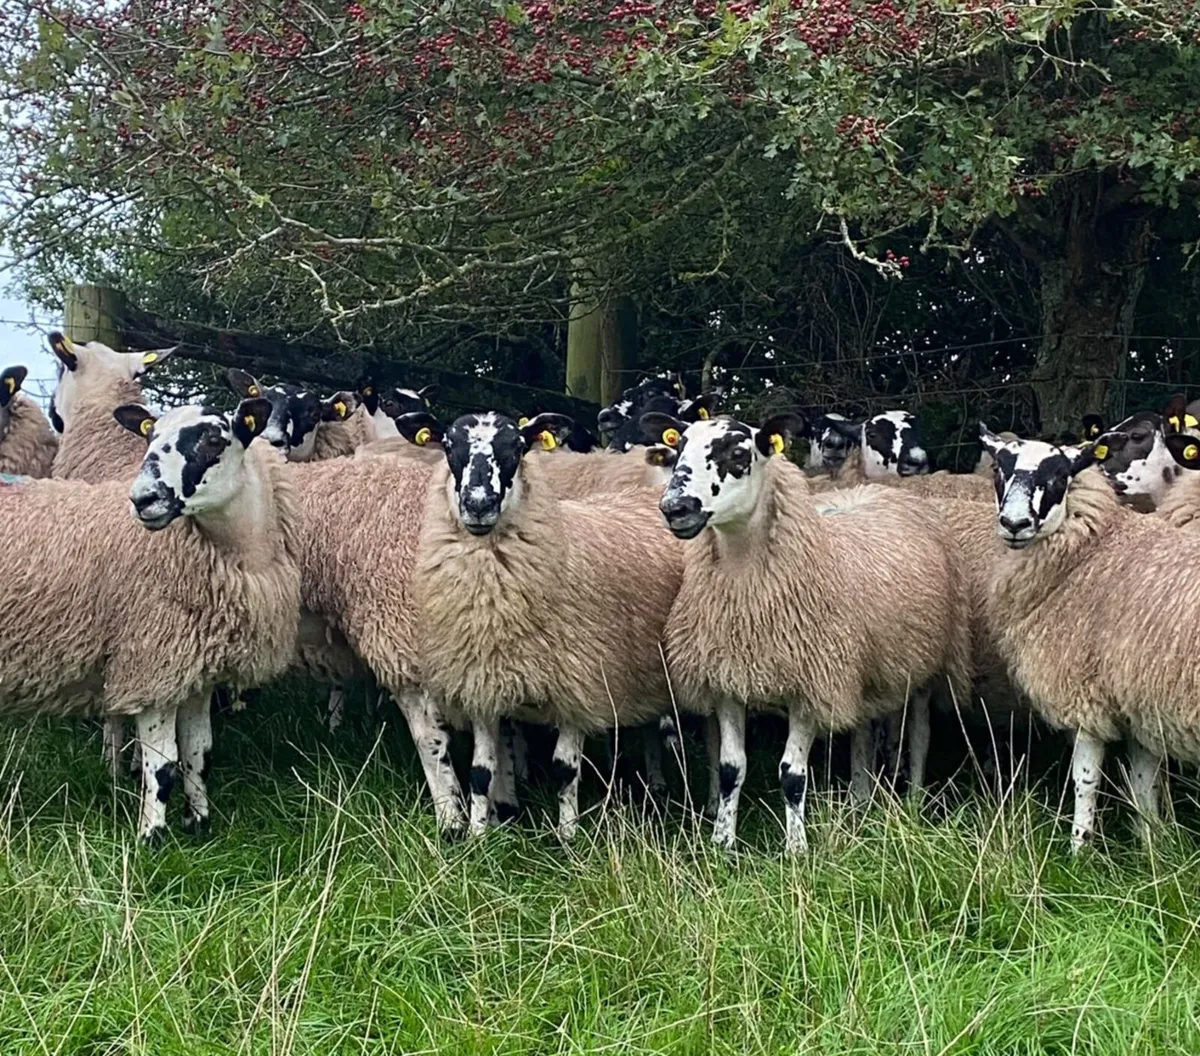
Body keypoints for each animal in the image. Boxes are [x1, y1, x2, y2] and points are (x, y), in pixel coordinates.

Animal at [0, 397, 301, 842]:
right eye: (149, 436)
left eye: (215, 439)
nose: (143, 499)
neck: (238, 555)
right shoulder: (151, 667)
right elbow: (161, 765)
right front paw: (152, 838)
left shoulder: (196, 674)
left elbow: (199, 753)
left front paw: (199, 824)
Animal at [397, 409, 683, 839]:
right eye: (447, 445)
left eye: (517, 447)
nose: (478, 504)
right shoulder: (481, 683)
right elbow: (481, 772)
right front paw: (478, 838)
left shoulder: (578, 684)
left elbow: (565, 770)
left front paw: (567, 838)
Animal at [648, 411, 972, 853]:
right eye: (678, 449)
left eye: (739, 453)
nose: (675, 508)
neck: (746, 592)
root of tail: (882, 492)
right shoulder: (728, 680)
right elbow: (731, 768)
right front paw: (722, 842)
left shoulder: (809, 686)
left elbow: (792, 774)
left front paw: (796, 849)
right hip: (861, 670)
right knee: (861, 731)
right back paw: (859, 798)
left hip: (925, 664)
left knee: (919, 732)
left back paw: (913, 800)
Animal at [979, 424, 1200, 852]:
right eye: (999, 469)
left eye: (1059, 476)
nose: (1014, 524)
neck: (1094, 548)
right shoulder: (1139, 705)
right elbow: (1143, 784)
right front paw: (1152, 847)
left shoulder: (1083, 698)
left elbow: (1085, 781)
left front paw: (1079, 849)